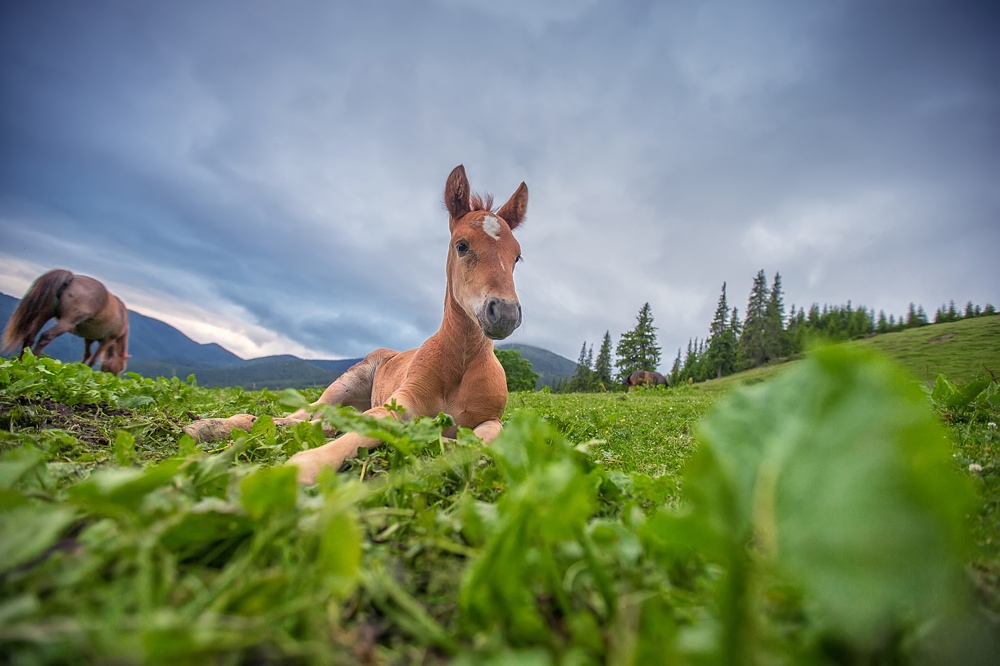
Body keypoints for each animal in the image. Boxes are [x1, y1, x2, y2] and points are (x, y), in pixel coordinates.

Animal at [1, 268, 131, 374]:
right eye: (120, 368)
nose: (114, 376)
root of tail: (71, 278)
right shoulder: (107, 341)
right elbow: (93, 359)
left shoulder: (89, 338)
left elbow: (87, 355)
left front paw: (81, 369)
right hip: (67, 322)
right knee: (46, 337)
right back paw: (33, 364)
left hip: (45, 314)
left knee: (30, 337)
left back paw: (22, 362)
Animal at [187, 163, 532, 480]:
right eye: (462, 245)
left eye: (516, 256)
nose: (504, 313)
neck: (461, 361)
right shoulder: (400, 404)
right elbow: (365, 432)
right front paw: (304, 467)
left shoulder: (492, 419)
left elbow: (481, 440)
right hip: (344, 384)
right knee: (301, 415)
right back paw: (210, 426)